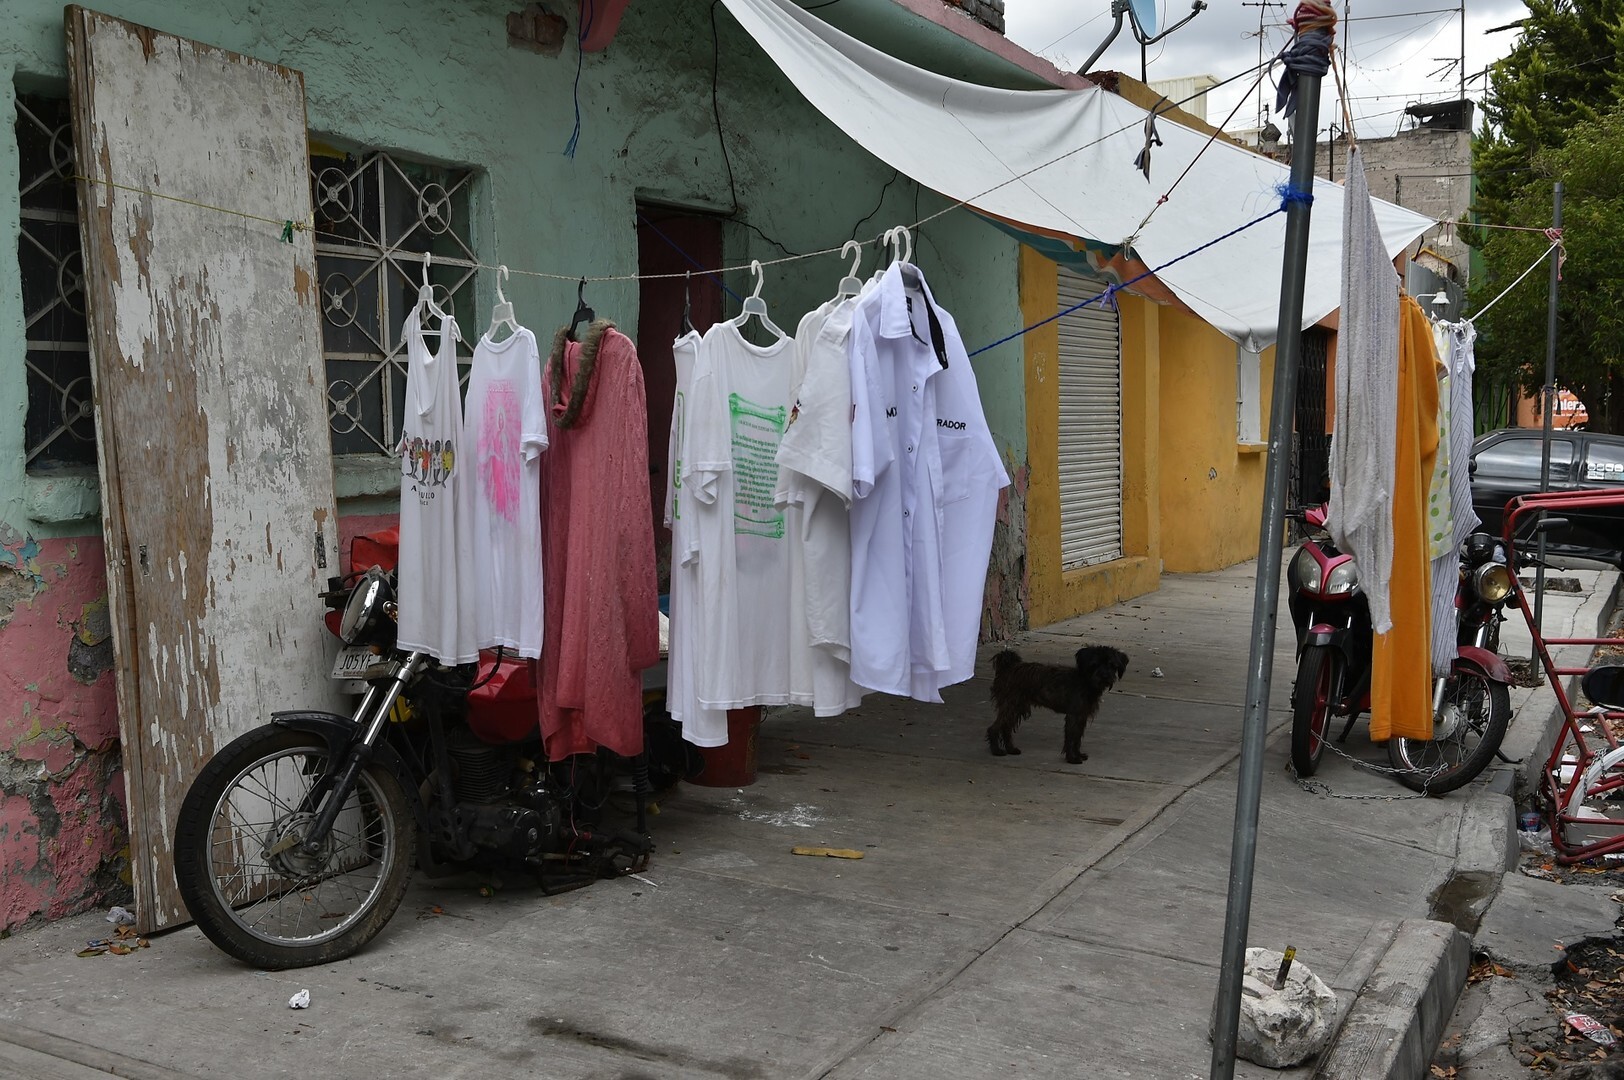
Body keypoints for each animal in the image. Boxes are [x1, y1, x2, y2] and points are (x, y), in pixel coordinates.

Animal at [987, 643, 1130, 763]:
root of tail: (1008, 668)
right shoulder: (1073, 716)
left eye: (1112, 665)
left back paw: (1010, 749)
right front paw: (1072, 758)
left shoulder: (1081, 717)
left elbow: (1077, 738)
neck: (1086, 681)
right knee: (994, 728)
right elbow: (1071, 737)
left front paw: (1078, 754)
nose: (1105, 676)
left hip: (1017, 708)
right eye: (1094, 664)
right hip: (1010, 706)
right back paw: (996, 750)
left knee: (1006, 728)